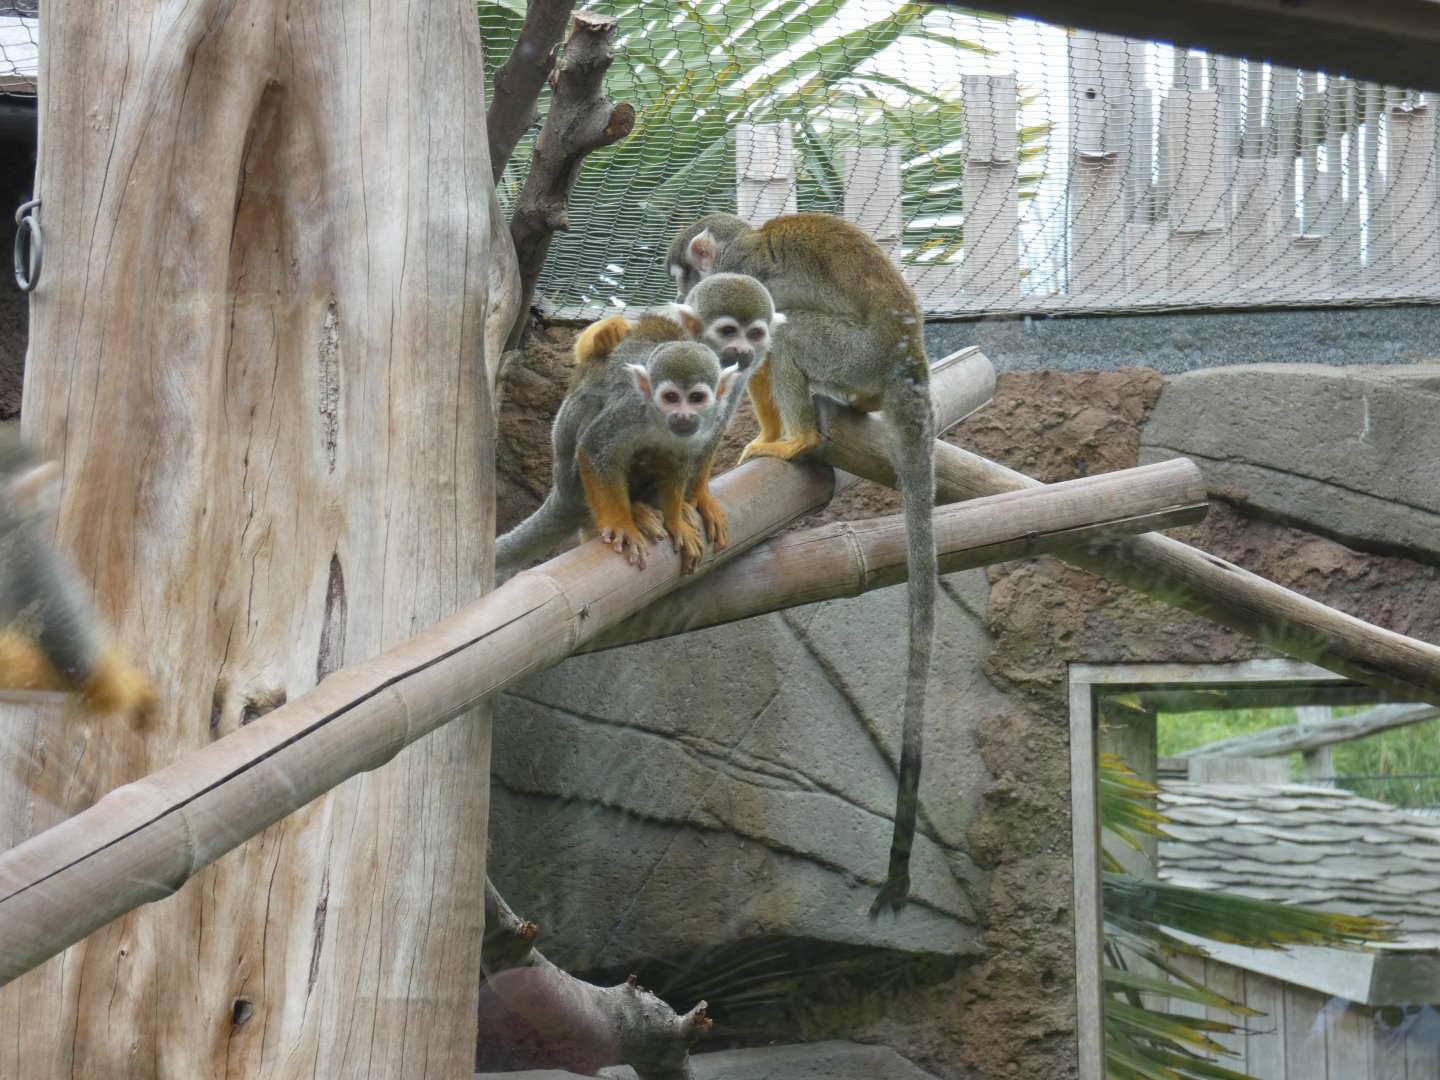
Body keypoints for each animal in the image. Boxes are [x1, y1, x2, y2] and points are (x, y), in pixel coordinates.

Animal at [494, 327, 740, 579]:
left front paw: (675, 520)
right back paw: (635, 511)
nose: (684, 416)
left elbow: (676, 464)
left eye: (696, 398)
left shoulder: (702, 427)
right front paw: (623, 526)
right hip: (572, 475)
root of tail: (561, 490)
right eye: (671, 397)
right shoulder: (630, 410)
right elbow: (593, 448)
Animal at [569, 273, 784, 549]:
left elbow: (712, 430)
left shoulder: (734, 379)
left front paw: (699, 495)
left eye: (754, 334)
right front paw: (609, 330)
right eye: (728, 331)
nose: (742, 350)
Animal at [667, 212, 936, 917]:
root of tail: (911, 363)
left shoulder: (743, 291)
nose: (677, 293)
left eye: (684, 272)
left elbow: (754, 350)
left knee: (789, 337)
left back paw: (797, 440)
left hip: (853, 352)